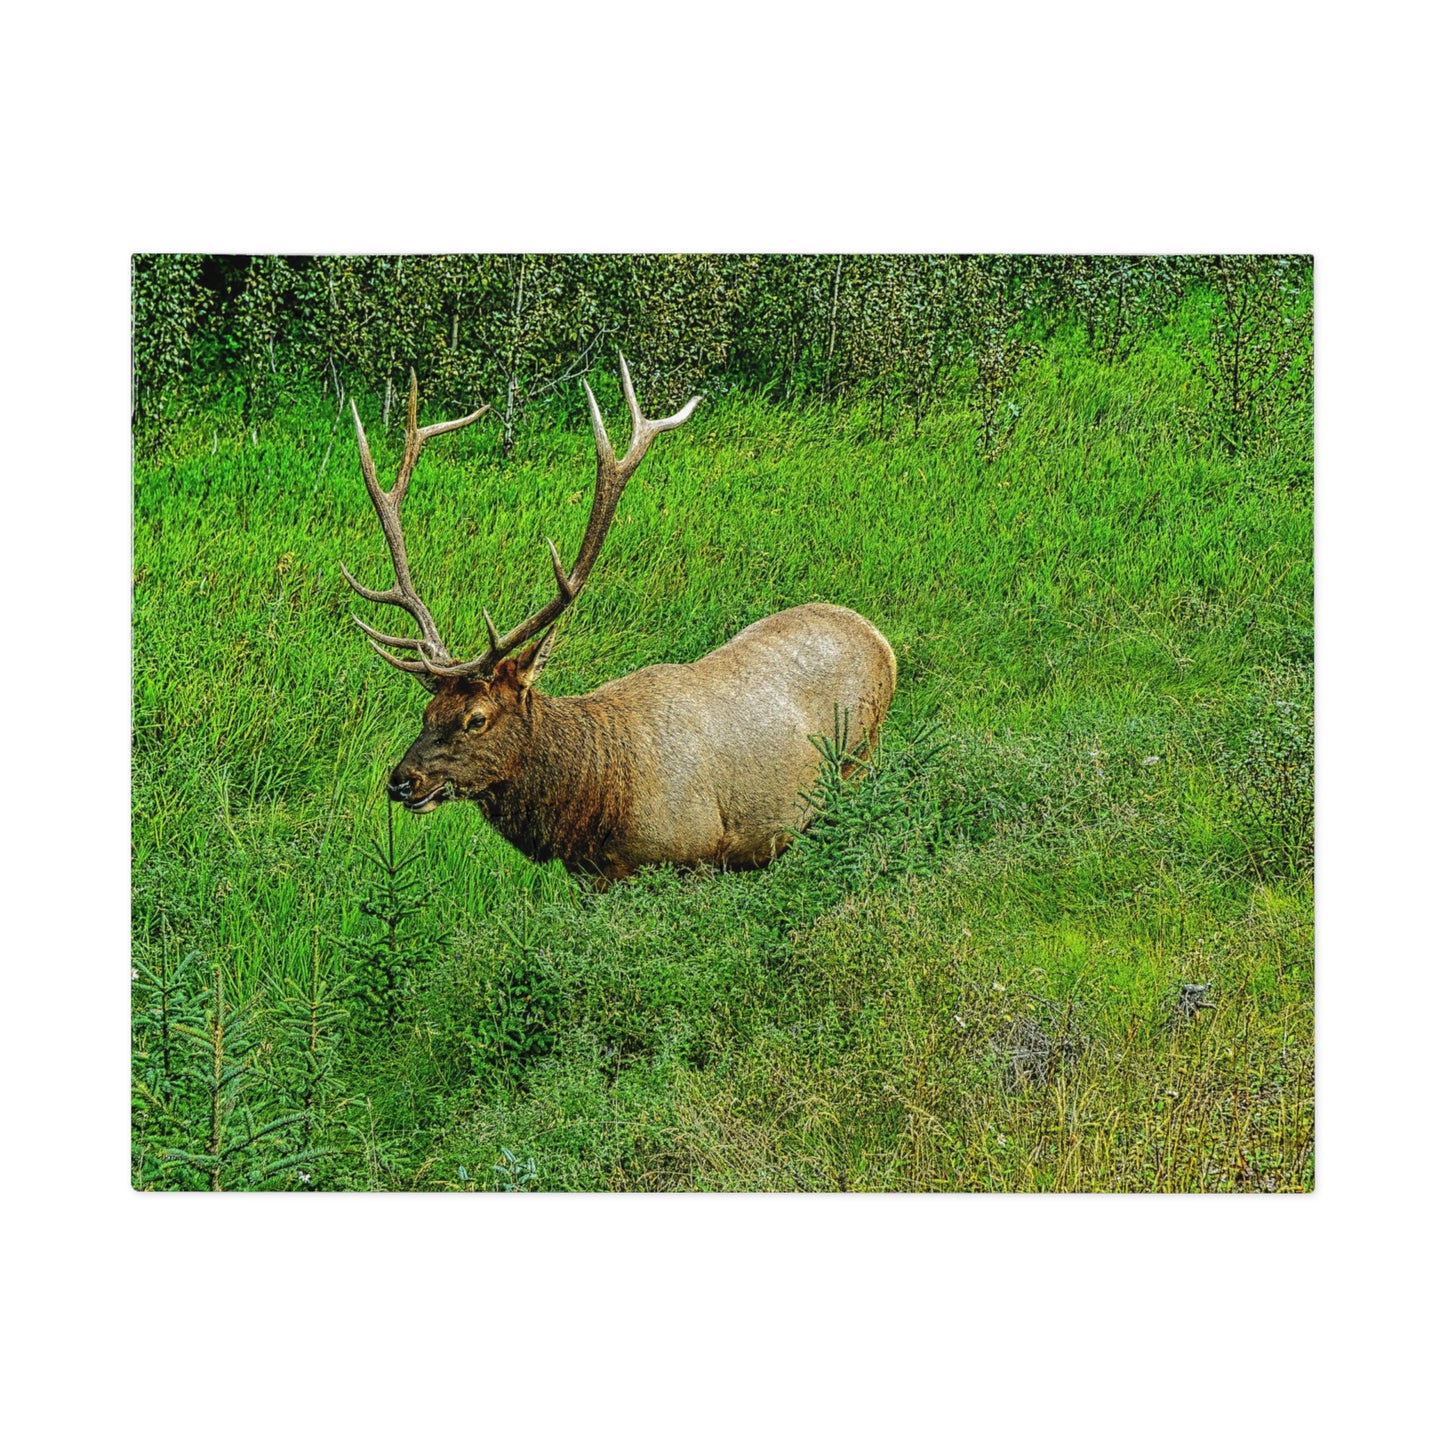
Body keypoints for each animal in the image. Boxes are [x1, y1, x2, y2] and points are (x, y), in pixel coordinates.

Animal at [342, 355, 897, 882]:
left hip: (858, 761)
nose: (401, 780)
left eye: (475, 718)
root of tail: (879, 638)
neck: (597, 805)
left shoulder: (693, 856)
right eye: (427, 712)